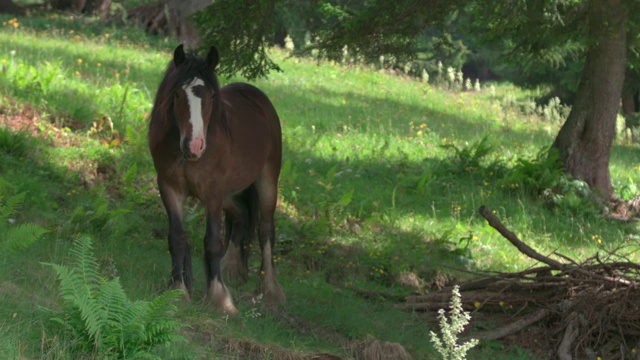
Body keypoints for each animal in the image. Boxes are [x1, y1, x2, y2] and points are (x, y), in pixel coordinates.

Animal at [149, 44, 284, 316]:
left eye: (212, 96)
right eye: (177, 95)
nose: (195, 145)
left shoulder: (212, 194)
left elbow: (212, 241)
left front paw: (220, 298)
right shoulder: (169, 189)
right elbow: (177, 238)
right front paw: (178, 291)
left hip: (267, 181)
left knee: (265, 230)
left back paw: (269, 290)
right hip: (229, 194)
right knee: (241, 216)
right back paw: (233, 270)